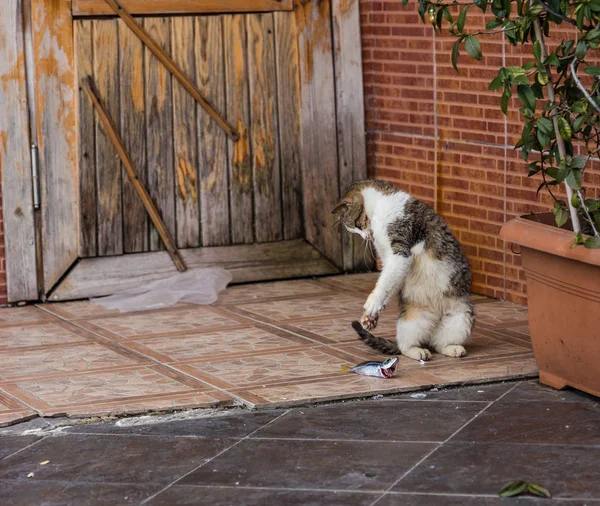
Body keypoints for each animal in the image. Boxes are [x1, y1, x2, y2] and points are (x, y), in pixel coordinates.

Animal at [332, 178, 474, 360]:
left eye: (357, 225)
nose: (366, 238)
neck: (381, 204)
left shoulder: (399, 253)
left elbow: (385, 282)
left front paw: (373, 304)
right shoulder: (388, 259)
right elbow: (389, 282)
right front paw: (371, 317)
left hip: (461, 316)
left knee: (440, 342)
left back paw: (452, 348)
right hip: (412, 320)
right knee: (407, 346)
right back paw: (419, 351)